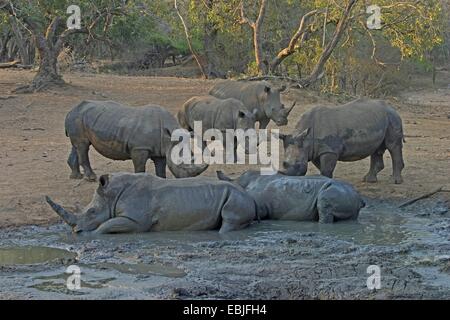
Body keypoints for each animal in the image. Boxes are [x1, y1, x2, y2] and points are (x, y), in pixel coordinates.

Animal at [46, 174, 256, 234]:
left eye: (92, 211)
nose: (76, 231)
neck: (112, 194)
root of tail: (249, 194)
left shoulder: (136, 221)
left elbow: (106, 225)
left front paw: (91, 235)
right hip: (237, 196)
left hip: (236, 197)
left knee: (228, 221)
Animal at [63, 100, 207, 180]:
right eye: (180, 164)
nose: (188, 180)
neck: (169, 137)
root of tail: (71, 110)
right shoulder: (139, 148)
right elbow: (140, 167)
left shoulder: (161, 149)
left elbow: (161, 169)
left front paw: (161, 181)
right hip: (78, 118)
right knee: (83, 146)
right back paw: (91, 178)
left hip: (79, 118)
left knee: (77, 145)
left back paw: (75, 176)